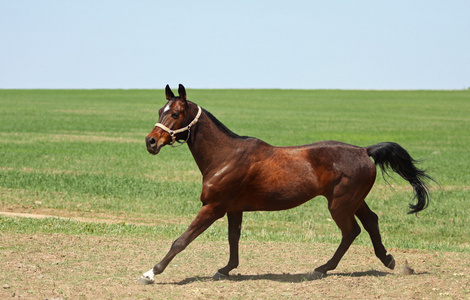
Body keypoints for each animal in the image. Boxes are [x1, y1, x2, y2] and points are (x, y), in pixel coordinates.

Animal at [140, 84, 434, 284]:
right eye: (160, 110)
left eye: (176, 113)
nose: (151, 141)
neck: (225, 156)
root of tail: (365, 150)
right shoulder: (234, 208)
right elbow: (233, 239)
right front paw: (226, 269)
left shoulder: (213, 207)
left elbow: (181, 240)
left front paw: (151, 272)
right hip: (353, 200)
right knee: (371, 221)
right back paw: (389, 260)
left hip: (340, 204)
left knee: (351, 231)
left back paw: (321, 269)